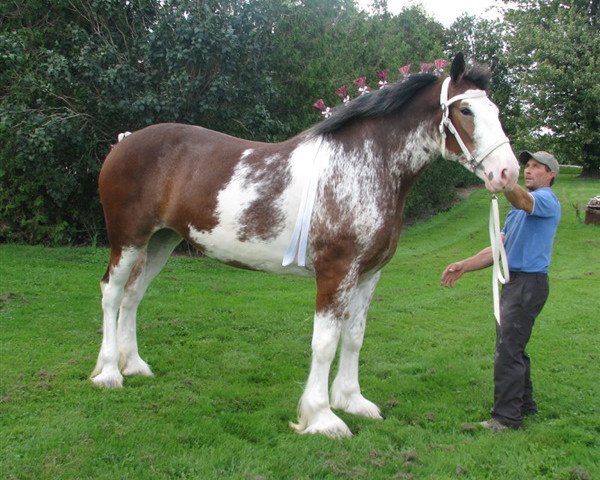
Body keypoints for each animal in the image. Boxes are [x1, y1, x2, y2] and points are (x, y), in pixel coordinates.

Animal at [91, 53, 516, 438]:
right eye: (465, 110)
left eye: (494, 110)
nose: (507, 172)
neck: (361, 167)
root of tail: (125, 142)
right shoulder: (335, 271)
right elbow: (325, 342)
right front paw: (322, 418)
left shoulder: (368, 275)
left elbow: (354, 336)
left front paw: (352, 401)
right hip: (128, 240)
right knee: (112, 293)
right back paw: (109, 373)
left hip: (161, 241)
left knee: (133, 295)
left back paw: (135, 365)